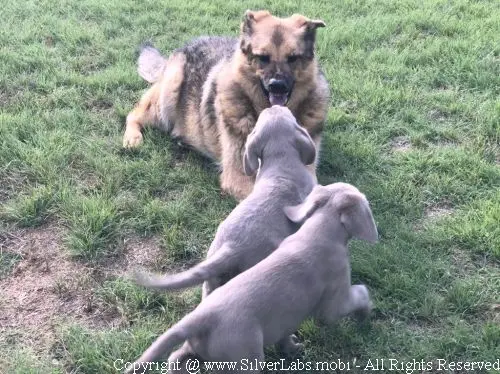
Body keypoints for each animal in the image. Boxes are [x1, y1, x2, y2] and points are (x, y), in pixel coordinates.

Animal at [123, 10, 330, 200]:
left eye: (293, 58)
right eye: (263, 57)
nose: (277, 85)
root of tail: (185, 46)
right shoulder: (238, 176)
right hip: (169, 92)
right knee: (134, 114)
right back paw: (132, 137)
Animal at [126, 183, 378, 372]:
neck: (320, 230)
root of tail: (199, 316)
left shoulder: (285, 321)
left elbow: (285, 336)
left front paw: (292, 348)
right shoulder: (333, 304)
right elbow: (359, 294)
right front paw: (365, 312)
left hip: (200, 347)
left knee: (176, 357)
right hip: (245, 358)